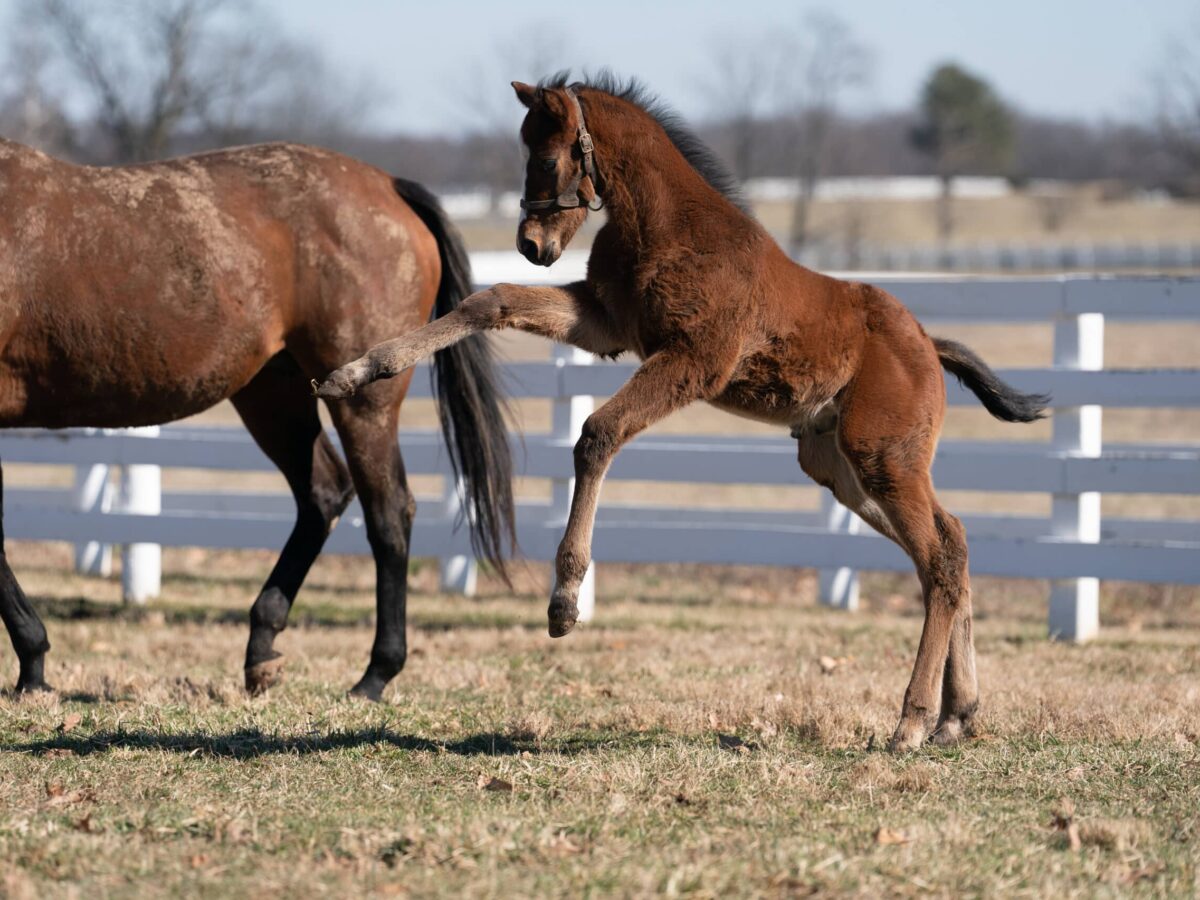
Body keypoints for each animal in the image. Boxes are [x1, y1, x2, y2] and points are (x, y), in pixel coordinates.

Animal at [0, 139, 516, 705]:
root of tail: (387, 185)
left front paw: (33, 665)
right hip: (274, 394)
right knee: (323, 494)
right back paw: (263, 649)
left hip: (363, 403)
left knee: (388, 515)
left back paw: (375, 673)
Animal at [314, 75, 1046, 753]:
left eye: (547, 158)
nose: (531, 244)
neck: (666, 227)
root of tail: (926, 342)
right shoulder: (607, 323)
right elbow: (488, 301)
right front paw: (355, 371)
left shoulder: (694, 360)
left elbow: (598, 432)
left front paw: (564, 603)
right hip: (838, 467)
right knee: (950, 544)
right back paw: (958, 715)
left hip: (883, 456)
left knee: (942, 560)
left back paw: (913, 722)